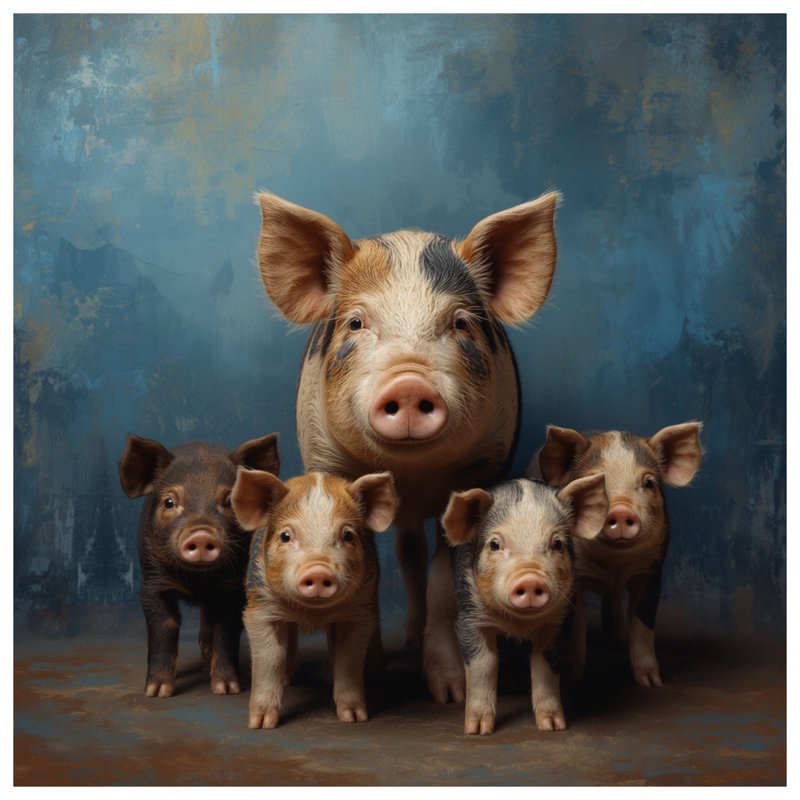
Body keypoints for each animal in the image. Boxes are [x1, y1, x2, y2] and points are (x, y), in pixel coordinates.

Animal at [118, 433, 280, 697]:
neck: (198, 581)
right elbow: (163, 629)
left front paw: (227, 689)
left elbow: (225, 632)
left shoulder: (232, 588)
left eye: (229, 501)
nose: (202, 535)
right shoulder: (152, 584)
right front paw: (157, 692)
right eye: (170, 502)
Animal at [231, 469, 398, 729]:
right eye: (286, 536)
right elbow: (270, 658)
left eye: (348, 535)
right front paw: (261, 724)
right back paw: (288, 679)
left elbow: (348, 660)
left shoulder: (360, 611)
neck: (312, 615)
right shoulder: (259, 608)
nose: (318, 571)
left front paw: (355, 718)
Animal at [254, 190, 559, 701]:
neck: (410, 475)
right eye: (356, 322)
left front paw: (450, 693)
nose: (410, 383)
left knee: (414, 559)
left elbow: (442, 580)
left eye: (460, 323)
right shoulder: (329, 461)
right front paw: (362, 672)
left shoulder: (477, 475)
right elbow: (369, 567)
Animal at [442, 474, 609, 734]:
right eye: (495, 544)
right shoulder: (469, 617)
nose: (530, 579)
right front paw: (477, 730)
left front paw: (553, 727)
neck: (518, 624)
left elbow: (544, 667)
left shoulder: (558, 622)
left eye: (557, 544)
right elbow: (484, 666)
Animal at [529, 422, 703, 687]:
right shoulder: (575, 577)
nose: (621, 511)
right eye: (595, 487)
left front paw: (651, 683)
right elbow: (577, 623)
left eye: (649, 483)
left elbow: (643, 621)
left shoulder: (652, 572)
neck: (614, 564)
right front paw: (571, 678)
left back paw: (618, 640)